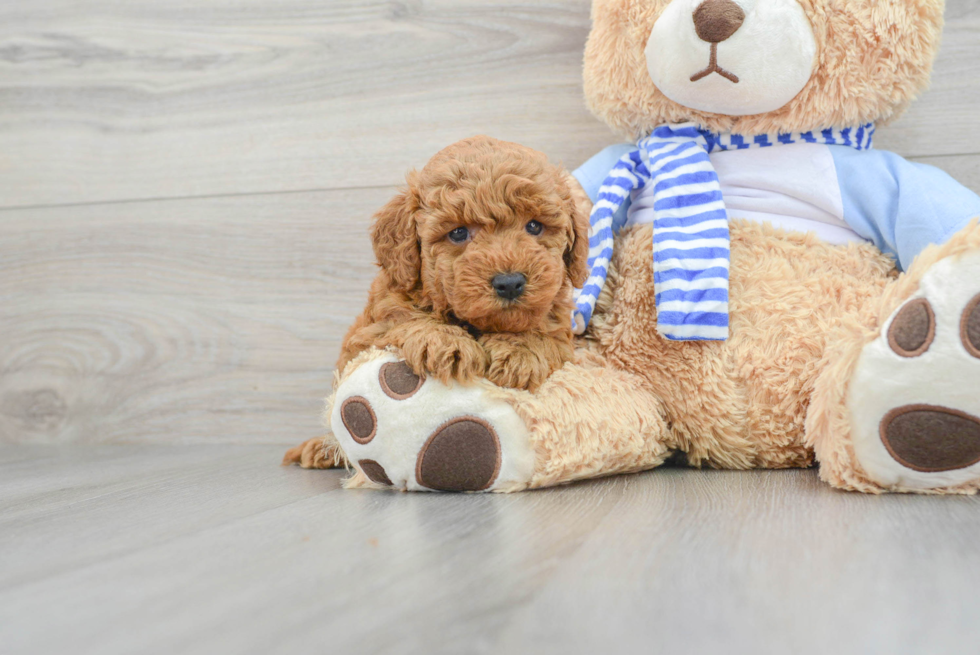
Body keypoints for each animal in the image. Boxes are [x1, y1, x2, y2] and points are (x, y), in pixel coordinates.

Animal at [336, 133, 588, 390]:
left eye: (535, 226)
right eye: (458, 233)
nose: (509, 284)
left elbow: (543, 330)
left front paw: (521, 351)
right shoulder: (367, 333)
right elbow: (403, 316)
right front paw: (447, 341)